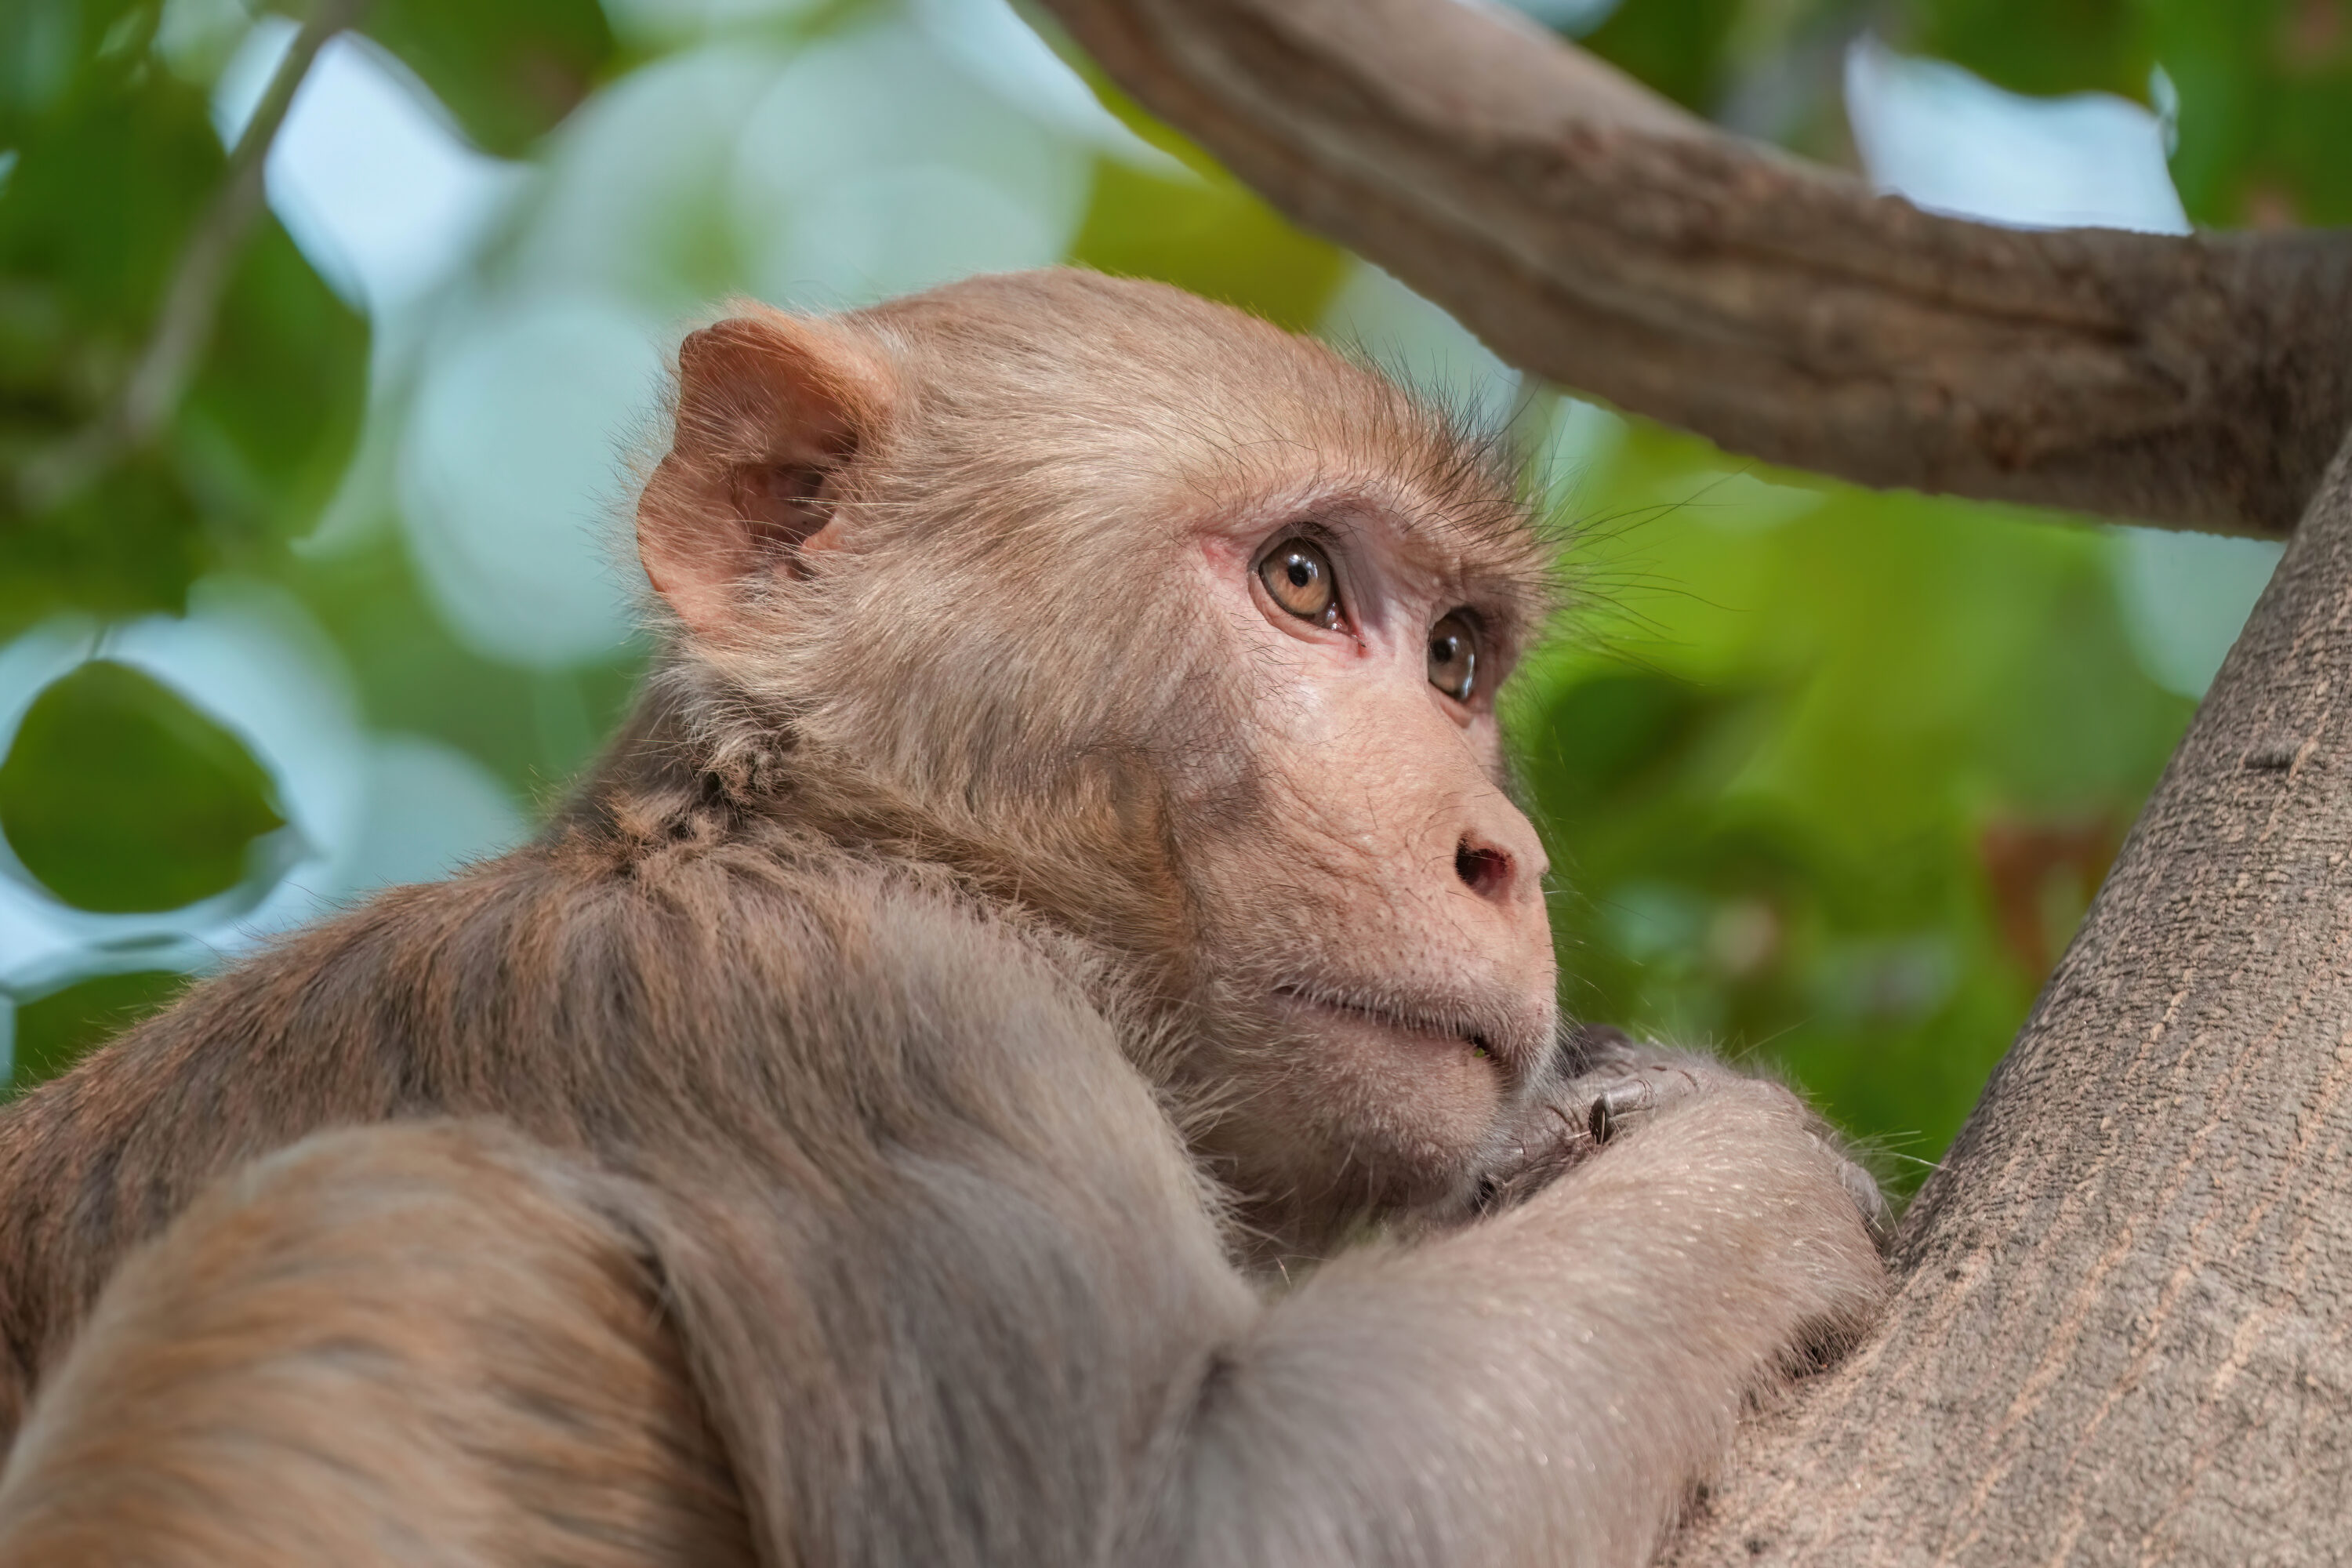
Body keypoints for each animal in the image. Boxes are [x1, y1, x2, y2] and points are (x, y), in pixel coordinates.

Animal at [0, 269, 1886, 1566]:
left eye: (1457, 661)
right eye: (1302, 580)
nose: (1506, 854)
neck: (823, 838)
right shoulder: (864, 1016)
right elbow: (1197, 1518)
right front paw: (1754, 1146)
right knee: (383, 1229)